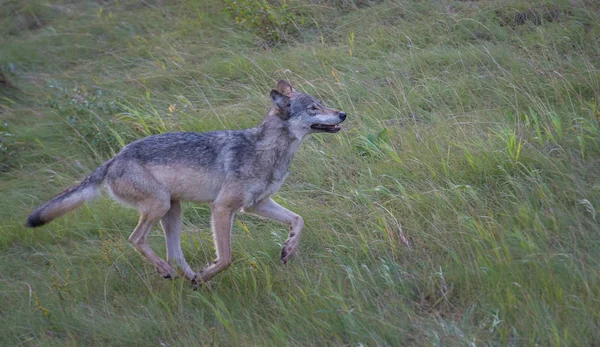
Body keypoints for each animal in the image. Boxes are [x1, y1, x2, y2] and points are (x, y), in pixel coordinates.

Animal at [24, 80, 346, 286]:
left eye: (322, 104)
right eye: (314, 108)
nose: (343, 113)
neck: (268, 152)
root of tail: (114, 159)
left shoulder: (256, 205)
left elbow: (298, 220)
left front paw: (288, 249)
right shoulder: (222, 209)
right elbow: (226, 257)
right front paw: (210, 271)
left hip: (172, 211)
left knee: (174, 253)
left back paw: (193, 280)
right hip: (159, 207)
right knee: (137, 240)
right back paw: (171, 273)